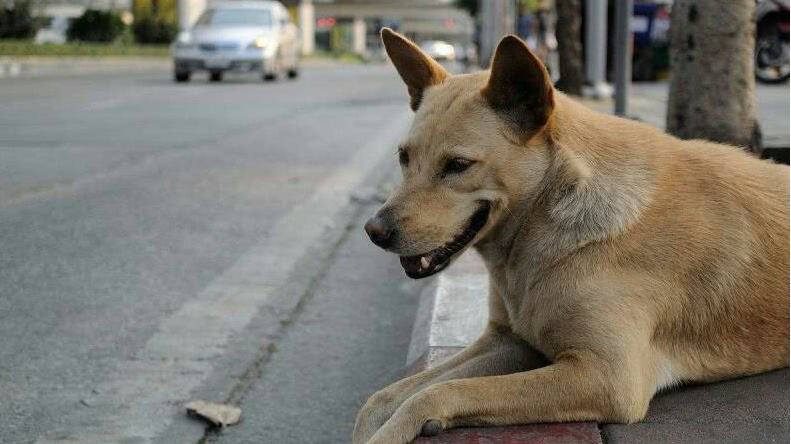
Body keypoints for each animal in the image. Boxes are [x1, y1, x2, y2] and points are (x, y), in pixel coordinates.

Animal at [356, 27, 788, 444]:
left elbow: (437, 393)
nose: (375, 231)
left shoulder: (606, 377)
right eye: (404, 158)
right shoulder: (508, 341)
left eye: (458, 165)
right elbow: (385, 397)